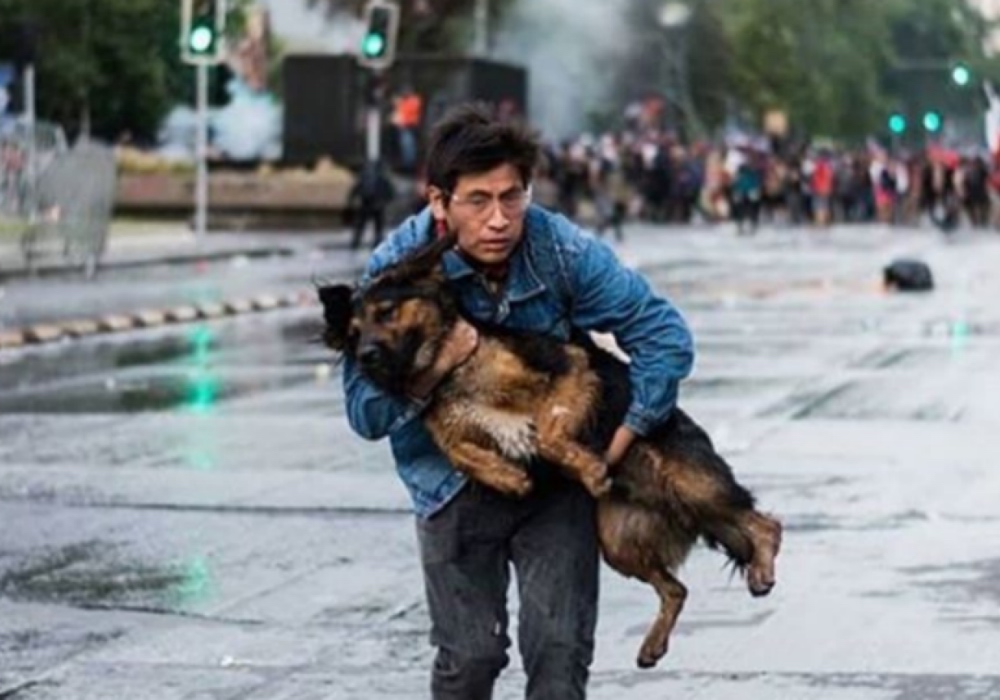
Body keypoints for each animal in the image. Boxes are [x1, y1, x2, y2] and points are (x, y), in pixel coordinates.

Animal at [320, 235, 780, 668]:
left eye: (386, 312)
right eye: (353, 333)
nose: (366, 357)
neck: (450, 369)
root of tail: (673, 508)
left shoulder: (569, 367)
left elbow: (546, 432)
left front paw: (589, 470)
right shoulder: (449, 426)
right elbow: (461, 453)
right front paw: (509, 478)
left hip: (688, 483)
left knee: (765, 524)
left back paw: (762, 568)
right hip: (618, 541)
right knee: (677, 588)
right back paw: (652, 645)